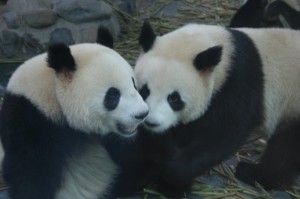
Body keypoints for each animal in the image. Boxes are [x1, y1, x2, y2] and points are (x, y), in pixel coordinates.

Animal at [134, 21, 300, 196]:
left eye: (174, 98)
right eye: (144, 91)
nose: (152, 122)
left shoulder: (239, 85)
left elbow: (222, 135)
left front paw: (174, 178)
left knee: (284, 150)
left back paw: (253, 174)